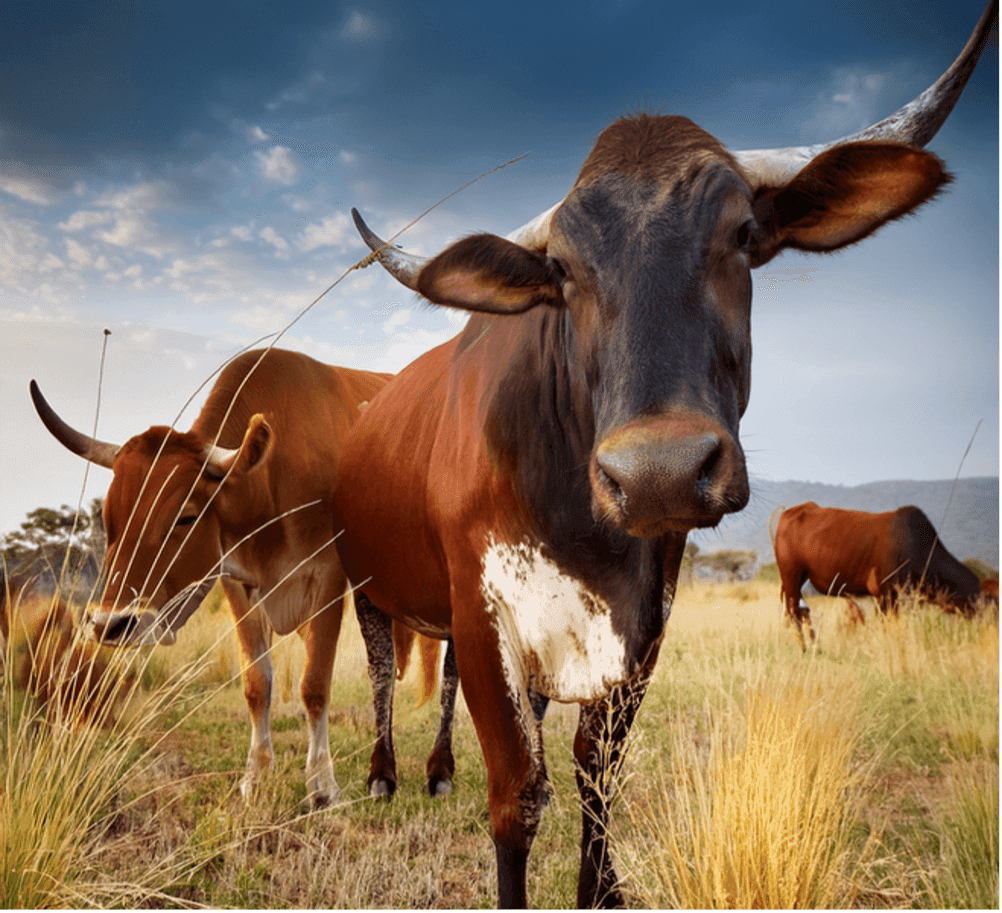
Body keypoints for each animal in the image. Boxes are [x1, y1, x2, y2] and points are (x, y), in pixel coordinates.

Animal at [30, 347, 459, 807]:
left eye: (186, 517)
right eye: (109, 518)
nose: (110, 624)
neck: (271, 480)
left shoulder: (328, 580)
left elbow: (314, 685)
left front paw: (322, 785)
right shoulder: (237, 584)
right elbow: (258, 684)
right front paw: (256, 776)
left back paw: (435, 770)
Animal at [773, 502, 987, 649]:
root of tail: (789, 512)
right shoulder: (885, 596)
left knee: (801, 611)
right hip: (791, 577)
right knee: (795, 612)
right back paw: (807, 648)